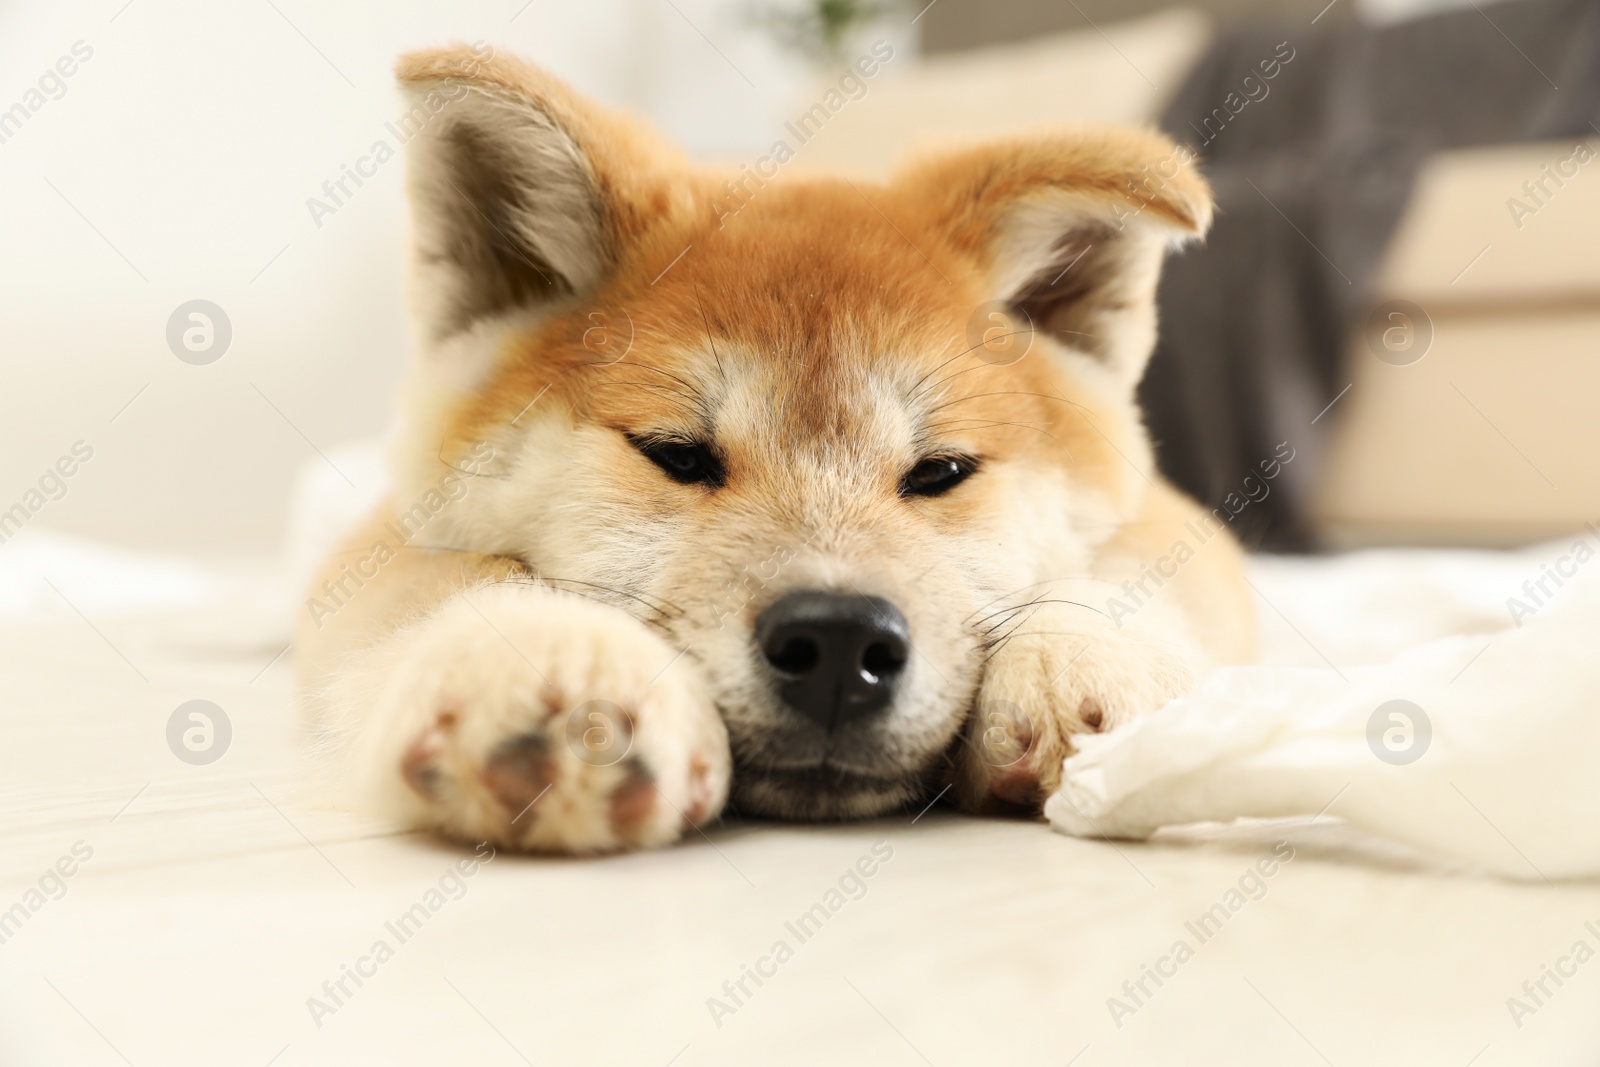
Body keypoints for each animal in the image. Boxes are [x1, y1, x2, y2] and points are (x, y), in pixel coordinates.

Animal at [297, 45, 1248, 857]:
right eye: (676, 455)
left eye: (940, 472)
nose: (837, 638)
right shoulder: (379, 547)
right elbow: (449, 581)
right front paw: (549, 649)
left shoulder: (1177, 531)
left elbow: (1123, 571)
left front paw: (1083, 649)